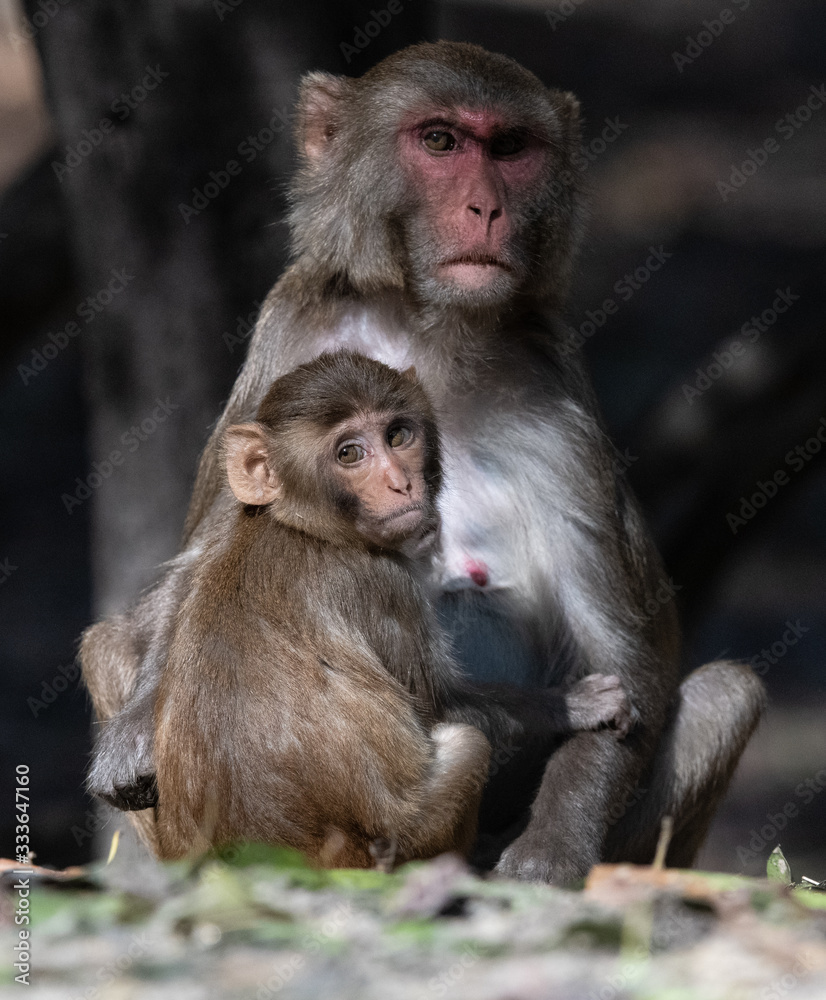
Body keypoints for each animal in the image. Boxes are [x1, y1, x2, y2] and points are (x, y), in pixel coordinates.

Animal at [152, 350, 632, 863]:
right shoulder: (385, 585)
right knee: (468, 744)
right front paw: (573, 704)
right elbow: (438, 709)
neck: (304, 526)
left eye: (398, 435)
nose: (401, 484)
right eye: (349, 453)